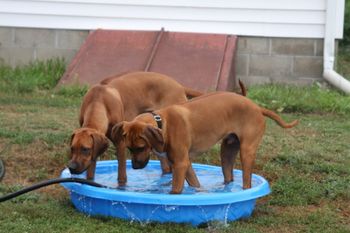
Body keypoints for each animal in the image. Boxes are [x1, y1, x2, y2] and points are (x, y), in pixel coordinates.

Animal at [67, 71, 202, 184]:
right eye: (72, 148)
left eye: (85, 149)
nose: (71, 167)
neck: (98, 100)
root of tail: (179, 85)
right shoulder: (95, 149)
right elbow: (91, 170)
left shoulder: (120, 143)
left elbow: (121, 173)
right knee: (165, 167)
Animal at [112, 91, 298, 193]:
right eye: (129, 148)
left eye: (141, 147)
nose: (135, 167)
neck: (162, 122)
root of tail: (257, 107)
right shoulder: (184, 164)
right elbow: (194, 183)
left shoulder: (180, 163)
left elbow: (175, 190)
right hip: (227, 151)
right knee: (228, 175)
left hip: (247, 152)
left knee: (246, 180)